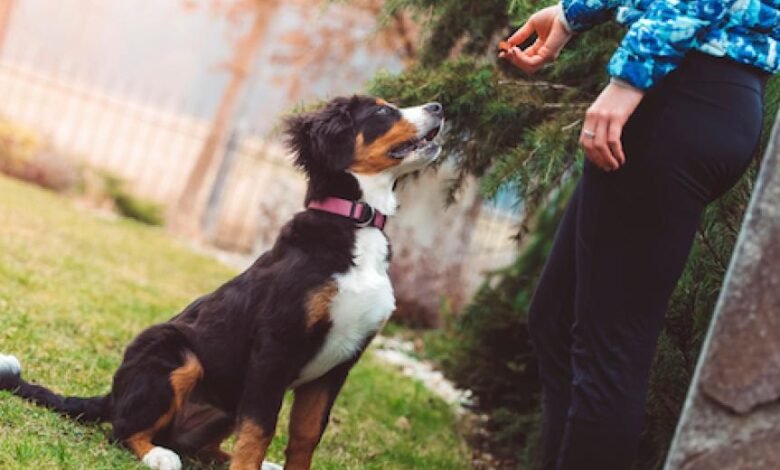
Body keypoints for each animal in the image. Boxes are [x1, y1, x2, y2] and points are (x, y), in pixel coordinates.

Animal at [0, 96, 444, 470]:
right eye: (383, 111)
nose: (439, 107)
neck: (356, 222)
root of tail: (115, 393)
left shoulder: (340, 362)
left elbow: (304, 436)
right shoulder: (275, 347)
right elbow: (260, 429)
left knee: (198, 446)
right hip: (176, 354)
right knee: (123, 430)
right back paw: (158, 456)